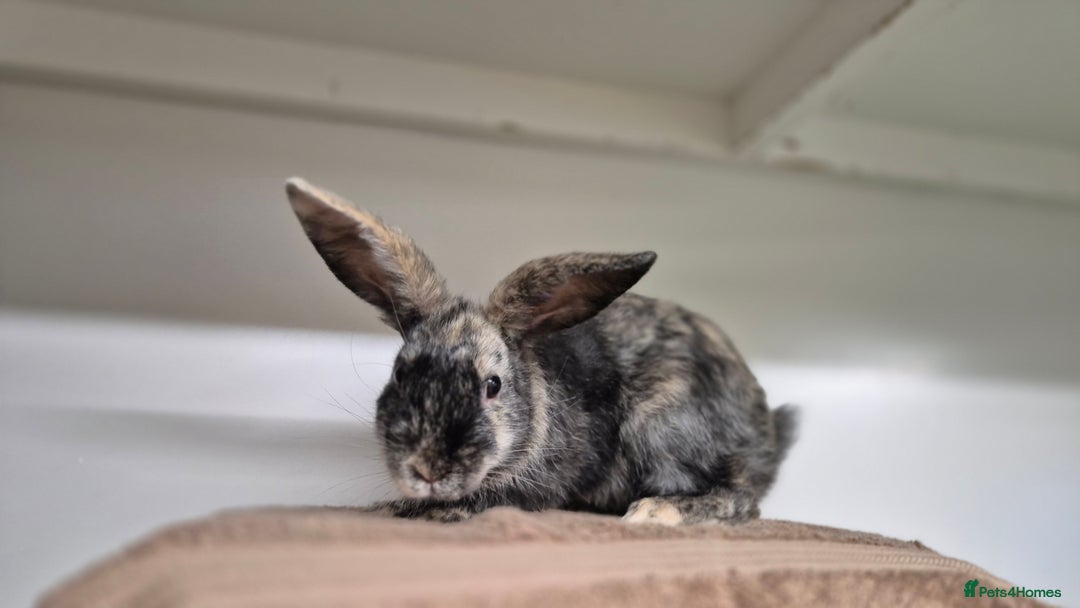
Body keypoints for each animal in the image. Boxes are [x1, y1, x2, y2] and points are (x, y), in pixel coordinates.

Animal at [285, 177, 797, 526]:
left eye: (492, 386)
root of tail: (768, 438)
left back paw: (655, 512)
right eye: (398, 374)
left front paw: (397, 508)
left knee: (741, 500)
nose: (428, 469)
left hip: (663, 423)